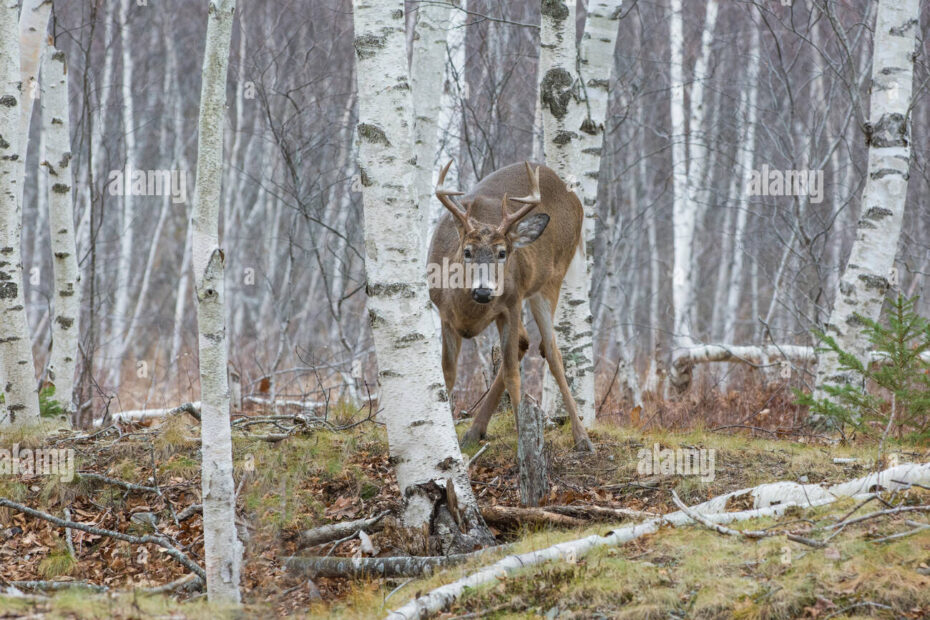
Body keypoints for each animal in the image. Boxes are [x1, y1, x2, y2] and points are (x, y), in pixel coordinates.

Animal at [430, 160, 596, 450]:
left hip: (550, 281)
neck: (468, 313)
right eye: (467, 251)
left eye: (502, 253)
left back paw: (582, 437)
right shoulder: (445, 315)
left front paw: (524, 442)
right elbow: (448, 374)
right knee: (525, 342)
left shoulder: (511, 304)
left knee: (551, 350)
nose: (483, 290)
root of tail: (574, 197)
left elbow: (512, 374)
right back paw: (474, 431)